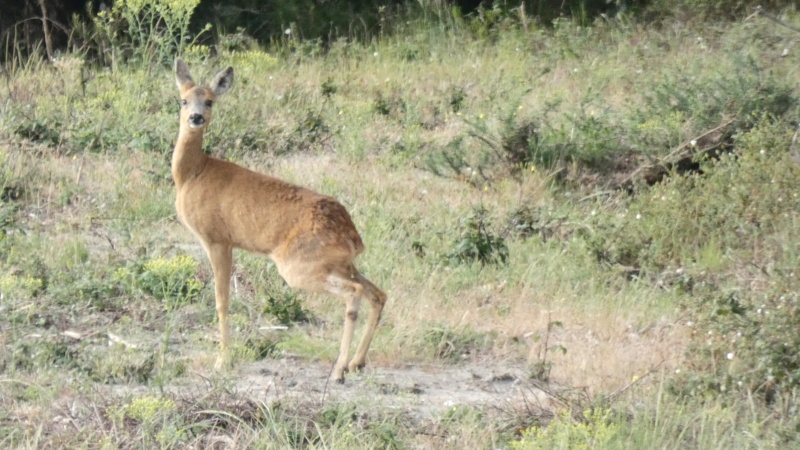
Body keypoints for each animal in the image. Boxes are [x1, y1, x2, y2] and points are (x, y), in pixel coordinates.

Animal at [172, 59, 388, 384]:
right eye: (184, 99)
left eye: (209, 100)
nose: (196, 117)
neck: (192, 173)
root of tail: (352, 235)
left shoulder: (217, 239)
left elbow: (222, 300)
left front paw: (222, 362)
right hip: (339, 264)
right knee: (378, 293)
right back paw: (356, 363)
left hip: (298, 266)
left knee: (355, 294)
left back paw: (338, 370)